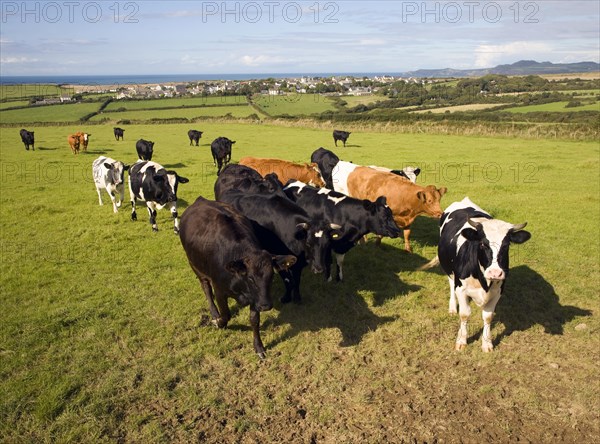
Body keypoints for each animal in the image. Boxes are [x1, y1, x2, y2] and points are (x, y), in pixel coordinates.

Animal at [180, 196, 298, 360]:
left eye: (271, 275)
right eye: (250, 278)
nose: (266, 306)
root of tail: (200, 200)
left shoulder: (256, 297)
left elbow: (254, 320)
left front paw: (259, 347)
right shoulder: (219, 290)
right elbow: (226, 314)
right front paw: (219, 322)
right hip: (195, 266)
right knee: (206, 289)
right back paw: (214, 313)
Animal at [422, 198, 528, 354]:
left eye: (506, 245)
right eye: (483, 244)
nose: (495, 273)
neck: (484, 281)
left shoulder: (498, 291)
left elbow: (488, 317)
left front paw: (487, 343)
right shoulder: (461, 288)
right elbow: (465, 314)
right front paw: (461, 341)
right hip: (448, 269)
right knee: (451, 284)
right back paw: (452, 308)